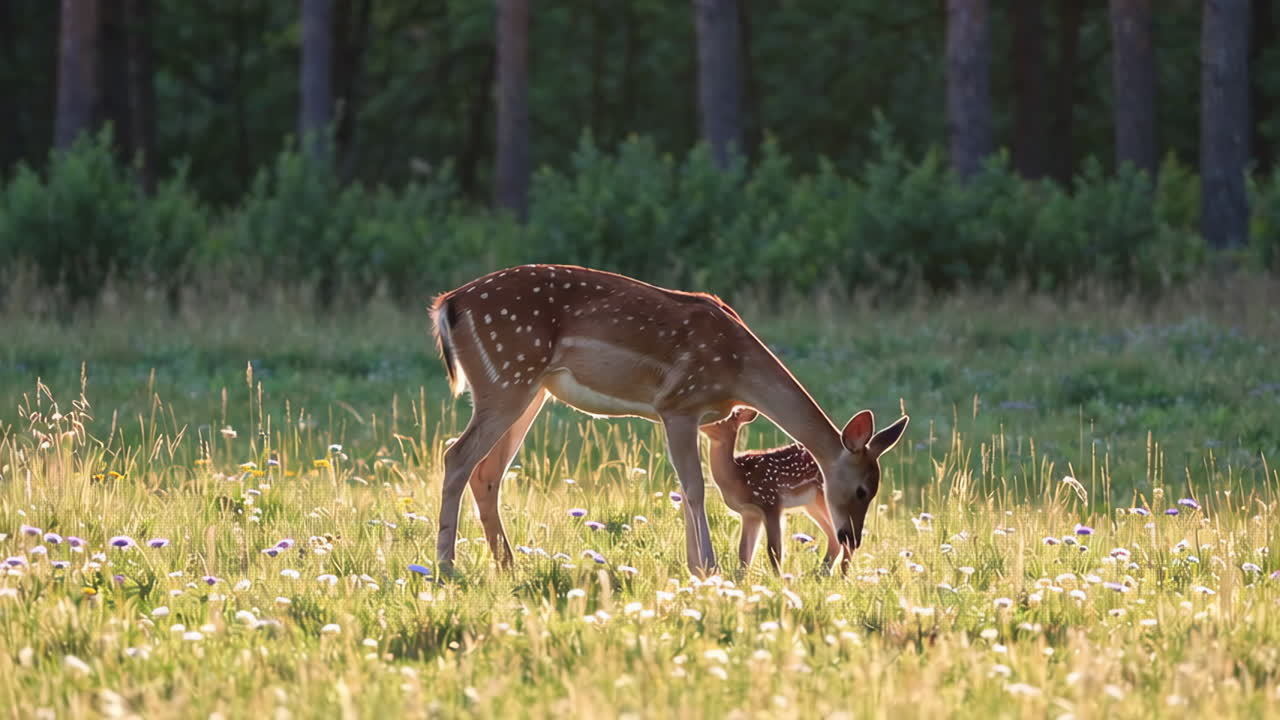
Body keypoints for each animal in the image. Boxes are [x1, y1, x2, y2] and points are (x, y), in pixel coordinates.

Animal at [701, 407, 850, 575]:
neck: (737, 478)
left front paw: (778, 578)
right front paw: (742, 578)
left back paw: (839, 574)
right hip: (812, 504)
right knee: (835, 537)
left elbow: (774, 550)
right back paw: (822, 573)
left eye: (717, 418)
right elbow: (744, 553)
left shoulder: (771, 502)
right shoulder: (749, 513)